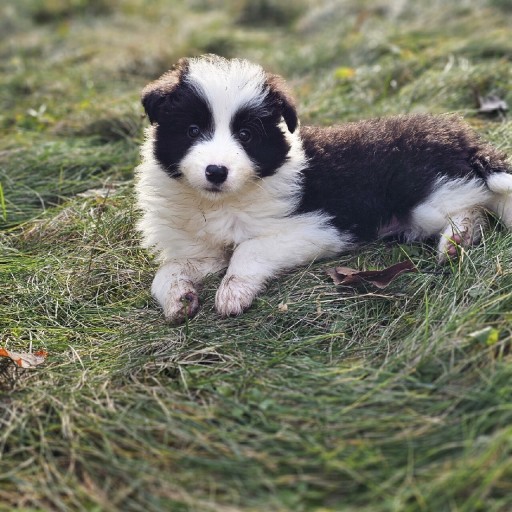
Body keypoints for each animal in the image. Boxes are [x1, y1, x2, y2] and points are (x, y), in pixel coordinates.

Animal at [135, 54, 512, 322]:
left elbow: (249, 249)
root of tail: (462, 139)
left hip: (424, 201)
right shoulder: (204, 251)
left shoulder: (317, 227)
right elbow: (168, 271)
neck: (222, 202)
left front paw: (232, 292)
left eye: (245, 135)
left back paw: (456, 241)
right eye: (192, 130)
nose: (216, 171)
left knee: (478, 204)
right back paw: (458, 242)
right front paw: (179, 298)